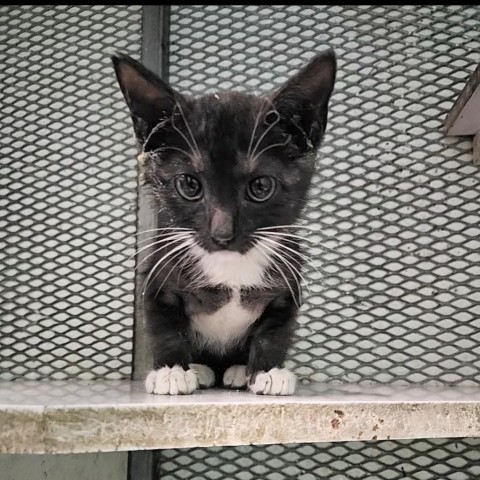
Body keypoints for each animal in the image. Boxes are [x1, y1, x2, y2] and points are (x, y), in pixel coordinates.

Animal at [113, 49, 338, 394]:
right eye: (189, 184)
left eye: (261, 187)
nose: (222, 233)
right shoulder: (157, 277)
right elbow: (165, 327)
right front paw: (171, 371)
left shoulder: (286, 289)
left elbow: (275, 332)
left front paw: (267, 371)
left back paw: (238, 370)